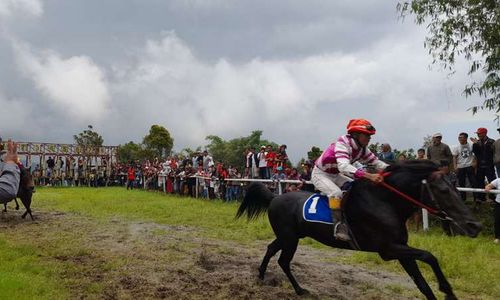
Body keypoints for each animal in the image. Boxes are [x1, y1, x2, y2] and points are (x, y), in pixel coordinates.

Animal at [236, 162, 482, 300]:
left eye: (456, 187)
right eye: (443, 191)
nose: (475, 225)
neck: (384, 201)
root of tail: (274, 197)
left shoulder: (400, 248)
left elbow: (422, 282)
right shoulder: (388, 249)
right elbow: (429, 256)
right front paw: (447, 290)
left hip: (289, 236)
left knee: (271, 249)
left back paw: (261, 275)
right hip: (289, 238)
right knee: (283, 261)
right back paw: (299, 290)